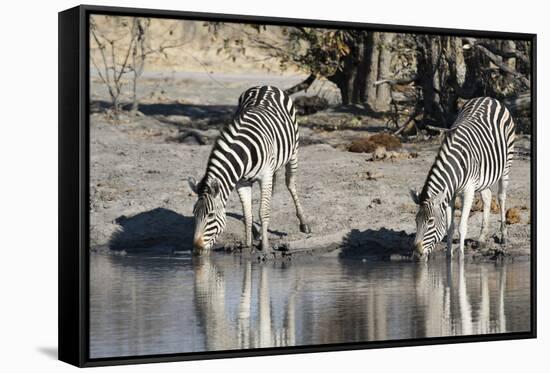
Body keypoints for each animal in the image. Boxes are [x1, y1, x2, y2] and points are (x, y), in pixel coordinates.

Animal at [189, 84, 310, 254]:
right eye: (194, 214)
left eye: (211, 215)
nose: (197, 249)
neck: (244, 153)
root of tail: (266, 85)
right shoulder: (241, 182)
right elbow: (247, 214)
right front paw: (248, 244)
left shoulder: (265, 175)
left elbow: (263, 211)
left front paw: (264, 247)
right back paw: (259, 233)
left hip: (293, 153)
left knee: (290, 184)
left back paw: (303, 223)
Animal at [412, 96, 520, 258]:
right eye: (416, 221)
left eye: (430, 221)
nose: (417, 253)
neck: (456, 166)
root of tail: (488, 98)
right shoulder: (450, 194)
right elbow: (450, 227)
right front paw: (448, 256)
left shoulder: (468, 191)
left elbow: (462, 226)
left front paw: (461, 257)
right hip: (484, 177)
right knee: (487, 196)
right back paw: (481, 238)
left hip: (506, 164)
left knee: (501, 197)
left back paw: (504, 236)